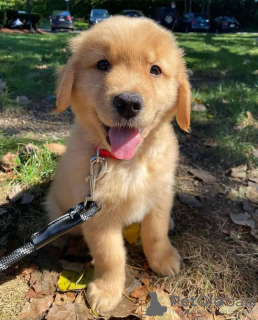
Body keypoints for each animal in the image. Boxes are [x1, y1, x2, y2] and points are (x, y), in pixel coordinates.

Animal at [45, 16, 190, 314]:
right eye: (103, 65)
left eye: (155, 70)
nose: (128, 103)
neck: (128, 162)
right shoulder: (96, 214)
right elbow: (110, 256)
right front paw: (107, 291)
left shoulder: (160, 194)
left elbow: (155, 231)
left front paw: (163, 258)